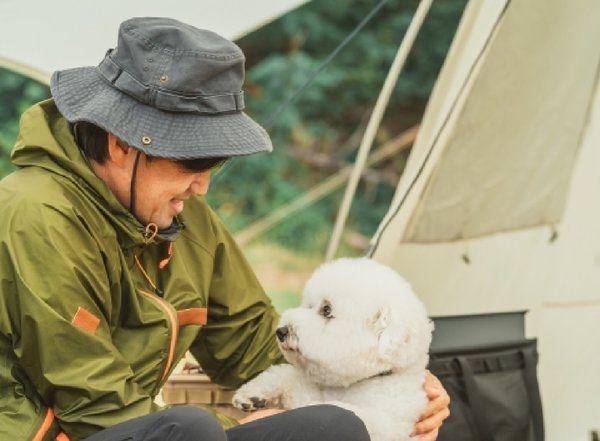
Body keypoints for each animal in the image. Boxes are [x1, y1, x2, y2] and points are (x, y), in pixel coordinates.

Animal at [232, 258, 434, 440]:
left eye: (327, 310)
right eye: (309, 305)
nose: (281, 331)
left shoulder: (385, 425)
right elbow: (288, 375)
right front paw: (253, 395)